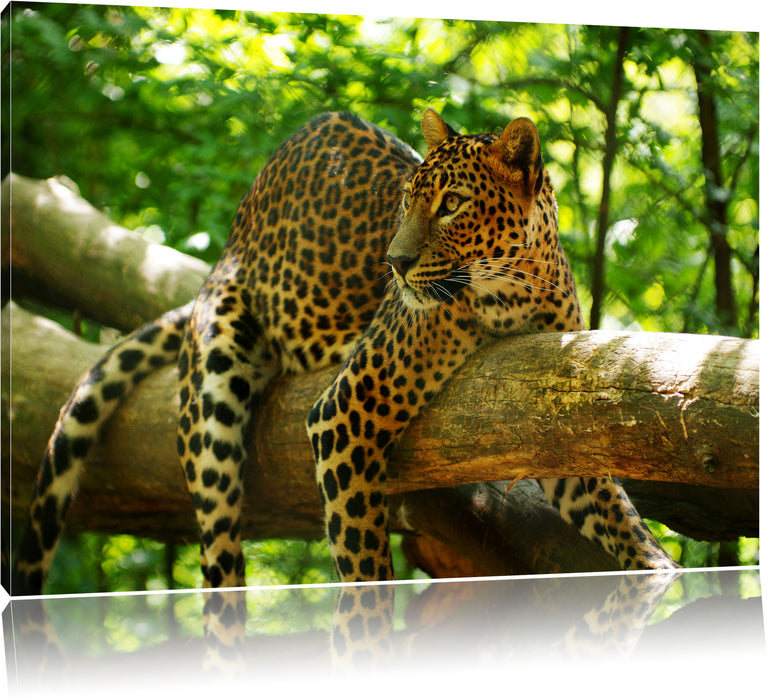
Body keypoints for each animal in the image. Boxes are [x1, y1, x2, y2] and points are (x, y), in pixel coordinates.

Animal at [12, 107, 677, 601]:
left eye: (452, 205)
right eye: (409, 200)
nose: (395, 263)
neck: (517, 290)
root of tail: (226, 247)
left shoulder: (552, 417)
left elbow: (617, 512)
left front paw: (661, 568)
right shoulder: (345, 413)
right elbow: (364, 570)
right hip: (215, 389)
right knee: (220, 558)